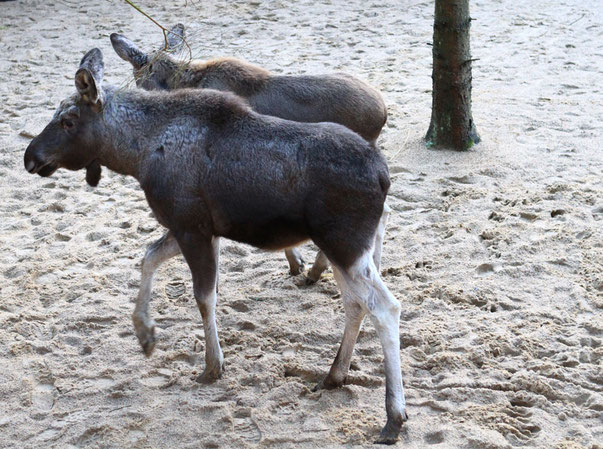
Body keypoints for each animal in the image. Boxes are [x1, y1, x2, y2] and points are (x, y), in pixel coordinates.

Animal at [26, 50, 408, 444]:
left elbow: (203, 296)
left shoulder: (192, 229)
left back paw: (393, 416)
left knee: (386, 307)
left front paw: (212, 365)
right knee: (355, 304)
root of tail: (383, 176)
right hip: (344, 248)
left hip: (344, 244)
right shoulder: (194, 228)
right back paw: (335, 375)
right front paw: (146, 335)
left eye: (69, 121)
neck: (137, 156)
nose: (30, 157)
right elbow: (148, 258)